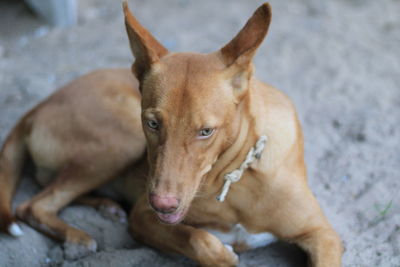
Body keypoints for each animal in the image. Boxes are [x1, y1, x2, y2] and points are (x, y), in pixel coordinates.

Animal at [0, 1, 344, 266]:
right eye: (152, 123)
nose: (162, 204)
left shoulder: (324, 236)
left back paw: (106, 207)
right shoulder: (144, 217)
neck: (234, 176)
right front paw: (223, 253)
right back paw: (79, 236)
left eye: (206, 131)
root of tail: (37, 107)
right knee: (32, 205)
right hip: (121, 141)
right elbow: (199, 240)